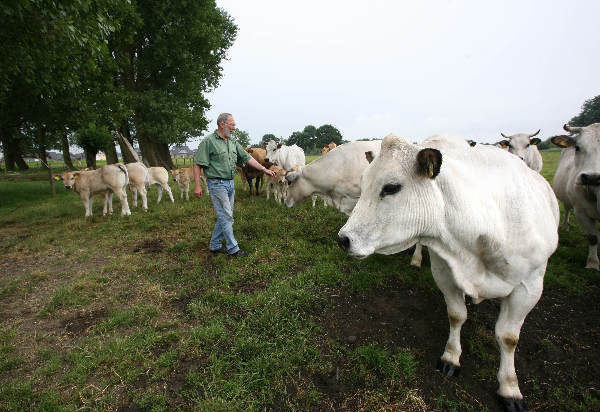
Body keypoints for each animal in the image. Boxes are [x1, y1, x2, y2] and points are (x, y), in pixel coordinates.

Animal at [338, 134, 556, 410]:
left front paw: (509, 387)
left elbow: (508, 337)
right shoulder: (443, 270)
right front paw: (451, 357)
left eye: (391, 188)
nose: (343, 239)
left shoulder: (530, 285)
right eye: (363, 184)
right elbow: (456, 315)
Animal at [552, 122, 600, 270]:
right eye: (578, 148)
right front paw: (593, 263)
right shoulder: (580, 211)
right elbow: (593, 236)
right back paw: (565, 226)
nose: (592, 177)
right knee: (567, 209)